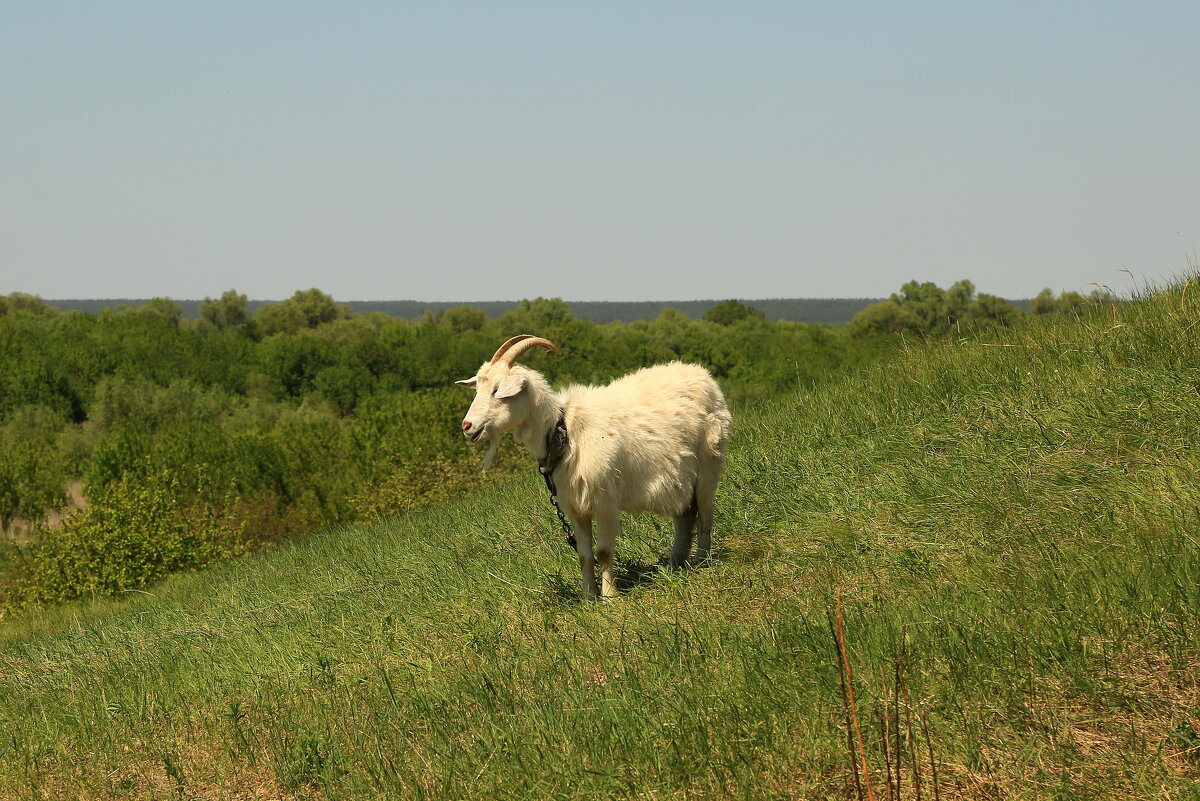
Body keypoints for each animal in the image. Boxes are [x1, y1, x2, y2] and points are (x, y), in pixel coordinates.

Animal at [458, 333, 734, 599]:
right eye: (477, 389)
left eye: (496, 390)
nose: (467, 426)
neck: (564, 430)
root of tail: (702, 374)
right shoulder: (574, 507)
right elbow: (584, 555)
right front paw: (588, 596)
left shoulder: (605, 502)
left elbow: (603, 552)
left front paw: (610, 596)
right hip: (679, 477)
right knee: (686, 514)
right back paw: (676, 561)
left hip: (709, 465)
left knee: (705, 515)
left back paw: (701, 559)